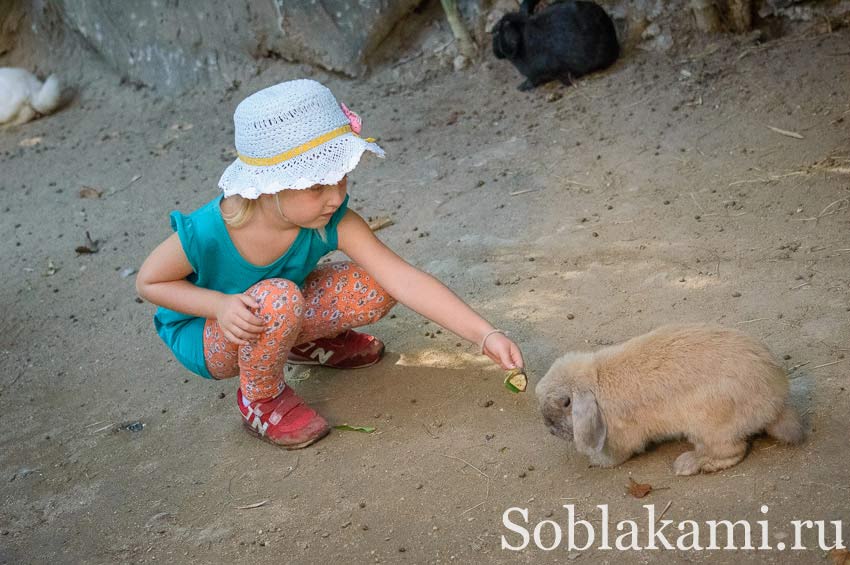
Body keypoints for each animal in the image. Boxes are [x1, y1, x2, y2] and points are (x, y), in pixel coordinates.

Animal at [536, 324, 800, 474]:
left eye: (565, 403)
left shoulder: (621, 437)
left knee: (733, 451)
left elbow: (618, 455)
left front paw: (599, 461)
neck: (595, 382)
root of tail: (776, 401)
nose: (549, 429)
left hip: (710, 425)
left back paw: (688, 465)